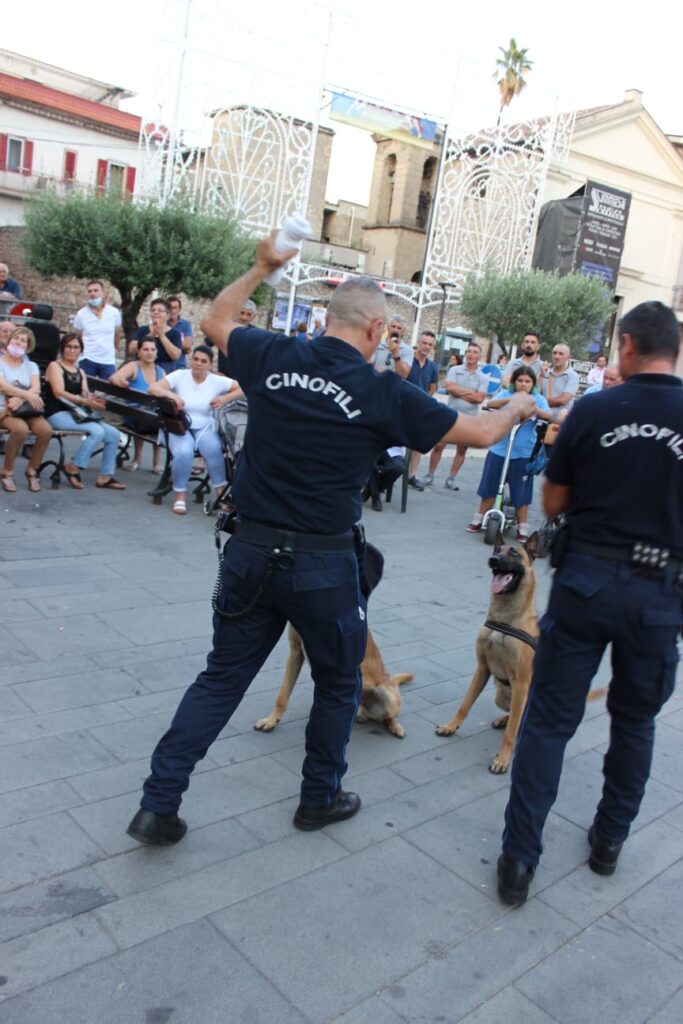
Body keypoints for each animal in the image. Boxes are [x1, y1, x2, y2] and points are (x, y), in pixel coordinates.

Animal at [436, 532, 540, 770]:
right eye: (496, 551)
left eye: (514, 553)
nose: (493, 560)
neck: (504, 619)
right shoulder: (482, 668)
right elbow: (465, 704)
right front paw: (451, 726)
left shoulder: (521, 682)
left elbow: (511, 733)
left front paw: (503, 759)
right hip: (501, 696)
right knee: (513, 716)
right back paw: (502, 719)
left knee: (520, 723)